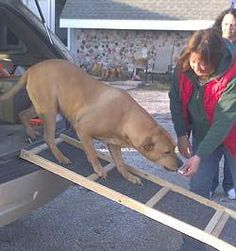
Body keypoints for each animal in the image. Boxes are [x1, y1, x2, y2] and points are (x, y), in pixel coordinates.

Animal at [0, 59, 181, 184]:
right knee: (49, 138)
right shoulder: (83, 130)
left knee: (23, 114)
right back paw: (60, 157)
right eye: (166, 152)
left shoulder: (114, 144)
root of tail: (33, 68)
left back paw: (31, 133)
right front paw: (99, 169)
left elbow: (120, 163)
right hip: (49, 110)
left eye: (175, 148)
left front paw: (128, 176)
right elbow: (93, 153)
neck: (126, 117)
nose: (180, 164)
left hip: (44, 107)